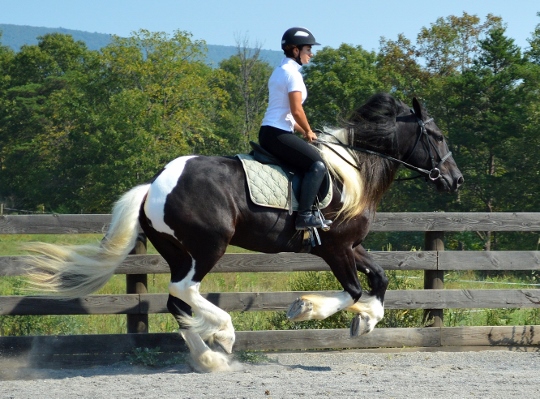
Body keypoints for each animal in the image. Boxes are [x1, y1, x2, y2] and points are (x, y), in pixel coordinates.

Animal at [25, 93, 464, 372]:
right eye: (438, 136)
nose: (456, 180)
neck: (352, 172)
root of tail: (153, 185)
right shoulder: (334, 247)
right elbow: (355, 289)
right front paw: (307, 309)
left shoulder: (351, 245)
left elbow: (381, 277)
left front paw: (367, 321)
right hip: (207, 247)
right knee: (185, 291)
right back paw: (224, 335)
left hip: (179, 252)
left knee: (176, 302)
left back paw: (209, 359)